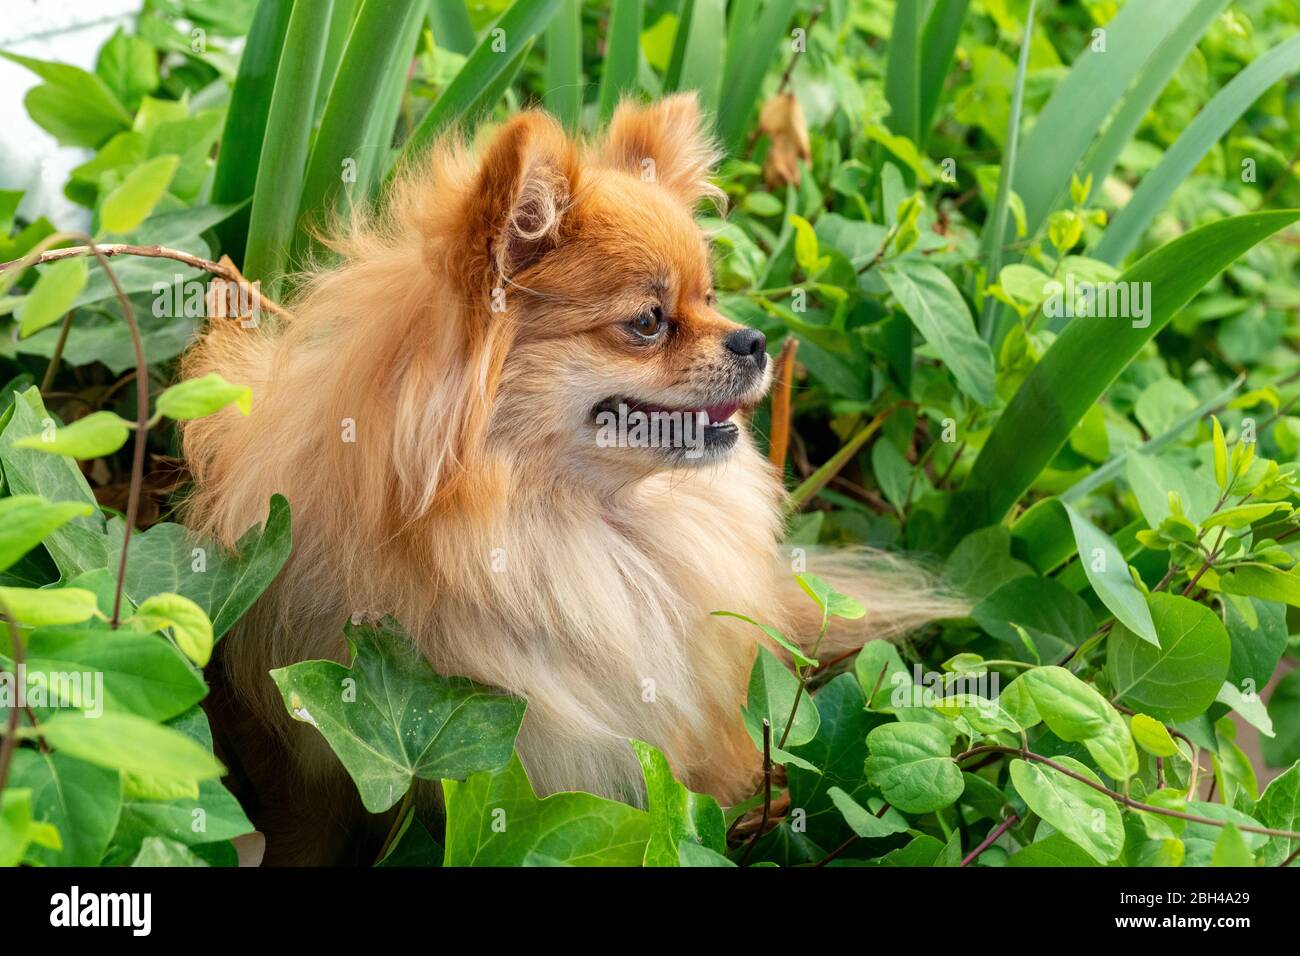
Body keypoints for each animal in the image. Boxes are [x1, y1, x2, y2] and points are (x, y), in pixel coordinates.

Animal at [183, 97, 956, 868]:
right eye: (647, 321)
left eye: (711, 298)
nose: (755, 339)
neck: (565, 524)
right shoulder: (306, 768)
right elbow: (304, 827)